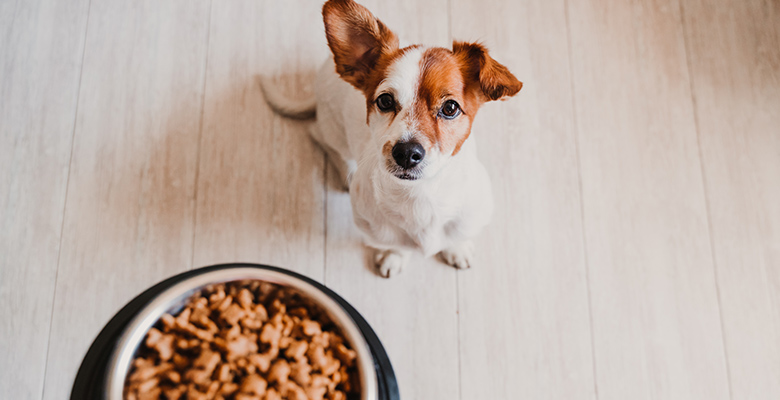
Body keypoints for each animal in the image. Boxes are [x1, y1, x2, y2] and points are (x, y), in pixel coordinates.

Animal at [258, 0, 520, 276]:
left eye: (450, 108)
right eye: (385, 101)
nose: (406, 152)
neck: (419, 196)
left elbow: (457, 237)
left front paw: (456, 248)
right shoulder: (376, 230)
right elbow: (395, 245)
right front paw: (395, 256)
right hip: (333, 131)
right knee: (320, 136)